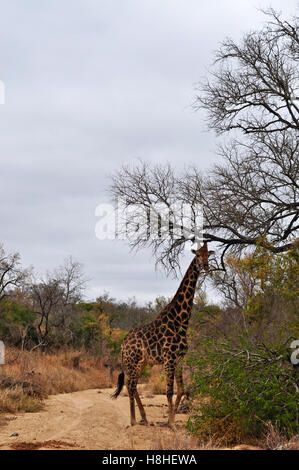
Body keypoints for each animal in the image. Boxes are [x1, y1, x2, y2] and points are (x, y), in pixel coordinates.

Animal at [112, 241, 213, 428]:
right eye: (197, 255)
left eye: (208, 254)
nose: (205, 266)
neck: (181, 320)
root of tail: (123, 344)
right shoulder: (169, 359)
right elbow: (169, 391)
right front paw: (171, 423)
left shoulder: (179, 358)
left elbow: (181, 389)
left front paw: (170, 419)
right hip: (132, 361)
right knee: (131, 385)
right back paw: (133, 420)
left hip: (141, 363)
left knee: (132, 385)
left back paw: (144, 418)